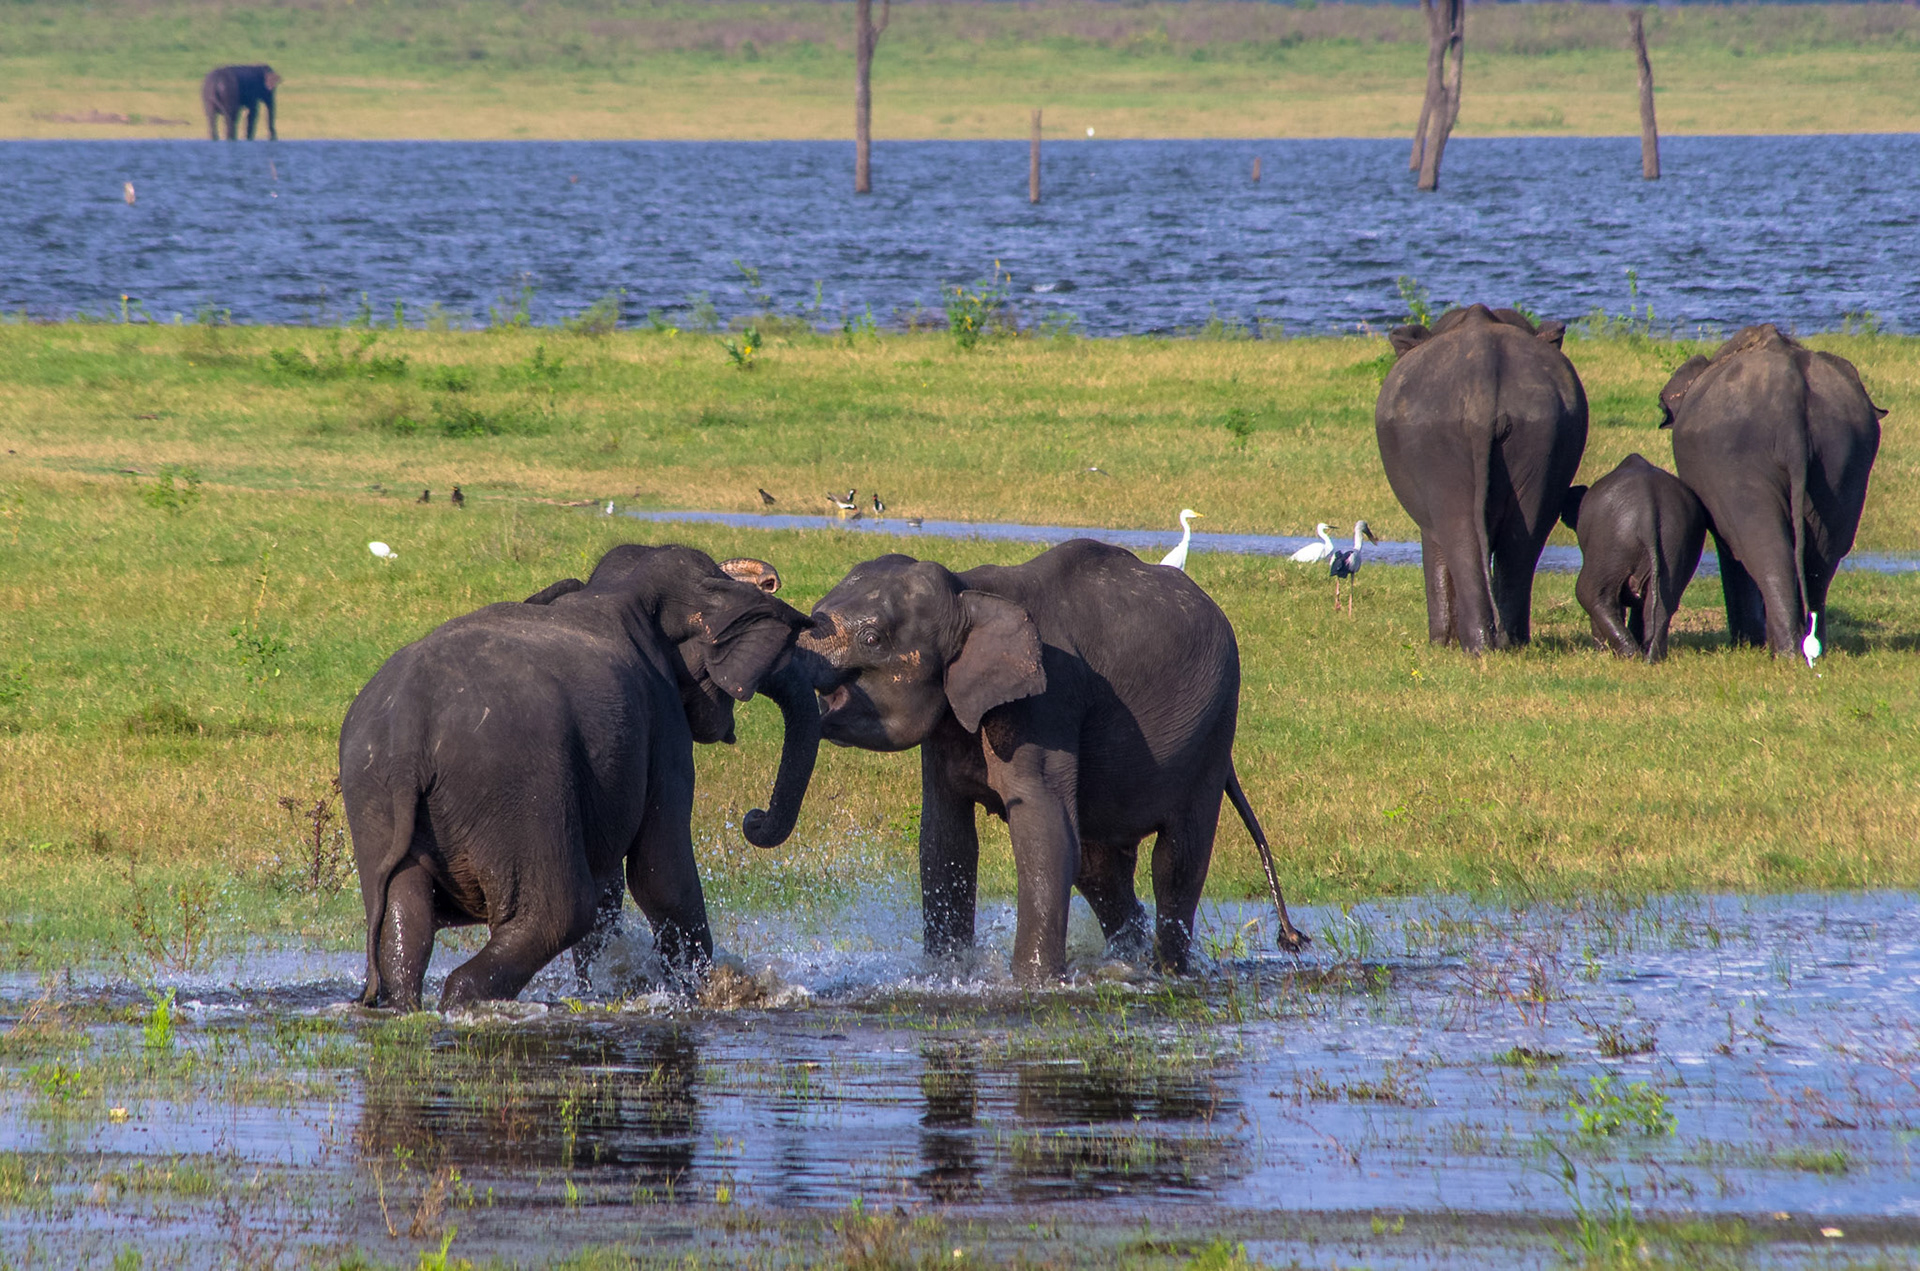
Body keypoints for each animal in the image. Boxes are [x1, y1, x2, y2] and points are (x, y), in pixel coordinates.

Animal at [340, 545, 820, 1011]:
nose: (753, 818)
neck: (618, 587)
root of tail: (409, 738)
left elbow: (614, 884)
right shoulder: (662, 723)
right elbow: (661, 874)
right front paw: (698, 994)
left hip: (371, 791)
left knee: (404, 918)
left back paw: (404, 1005)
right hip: (517, 786)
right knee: (560, 912)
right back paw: (465, 1001)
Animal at [792, 539, 1309, 983]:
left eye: (872, 640)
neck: (968, 592)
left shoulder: (1049, 699)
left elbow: (1044, 832)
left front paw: (1032, 984)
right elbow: (945, 840)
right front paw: (946, 974)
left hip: (1214, 727)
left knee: (1176, 859)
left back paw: (1169, 971)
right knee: (1100, 869)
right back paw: (1129, 962)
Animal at [1377, 304, 1590, 652]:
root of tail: (1482, 395)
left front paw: (1440, 644)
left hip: (1436, 445)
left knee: (1458, 532)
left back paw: (1475, 646)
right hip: (1543, 434)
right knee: (1523, 538)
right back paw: (1509, 641)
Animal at [1559, 454, 1707, 663]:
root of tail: (1648, 508)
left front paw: (1601, 651)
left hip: (1610, 550)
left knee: (1593, 595)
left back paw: (1628, 654)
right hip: (1676, 544)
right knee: (1661, 603)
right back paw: (1651, 657)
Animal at [1660, 325, 1884, 656]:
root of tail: (1792, 405)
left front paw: (1746, 642)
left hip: (1738, 457)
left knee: (1761, 547)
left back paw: (1784, 651)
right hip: (1843, 456)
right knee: (1822, 554)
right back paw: (1807, 647)